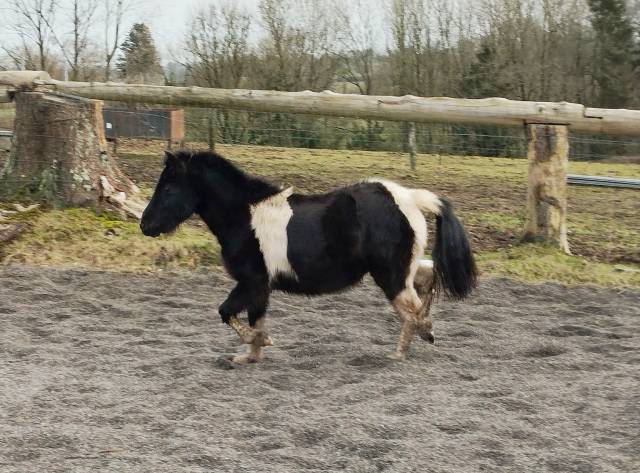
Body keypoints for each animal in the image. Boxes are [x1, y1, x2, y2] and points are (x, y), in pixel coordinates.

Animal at [140, 150, 477, 363]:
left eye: (168, 188)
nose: (145, 225)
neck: (245, 218)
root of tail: (409, 198)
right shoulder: (260, 287)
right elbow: (254, 319)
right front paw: (249, 355)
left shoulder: (252, 281)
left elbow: (227, 312)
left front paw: (259, 343)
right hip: (401, 269)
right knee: (427, 280)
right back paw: (424, 333)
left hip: (390, 275)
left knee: (411, 309)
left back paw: (404, 348)